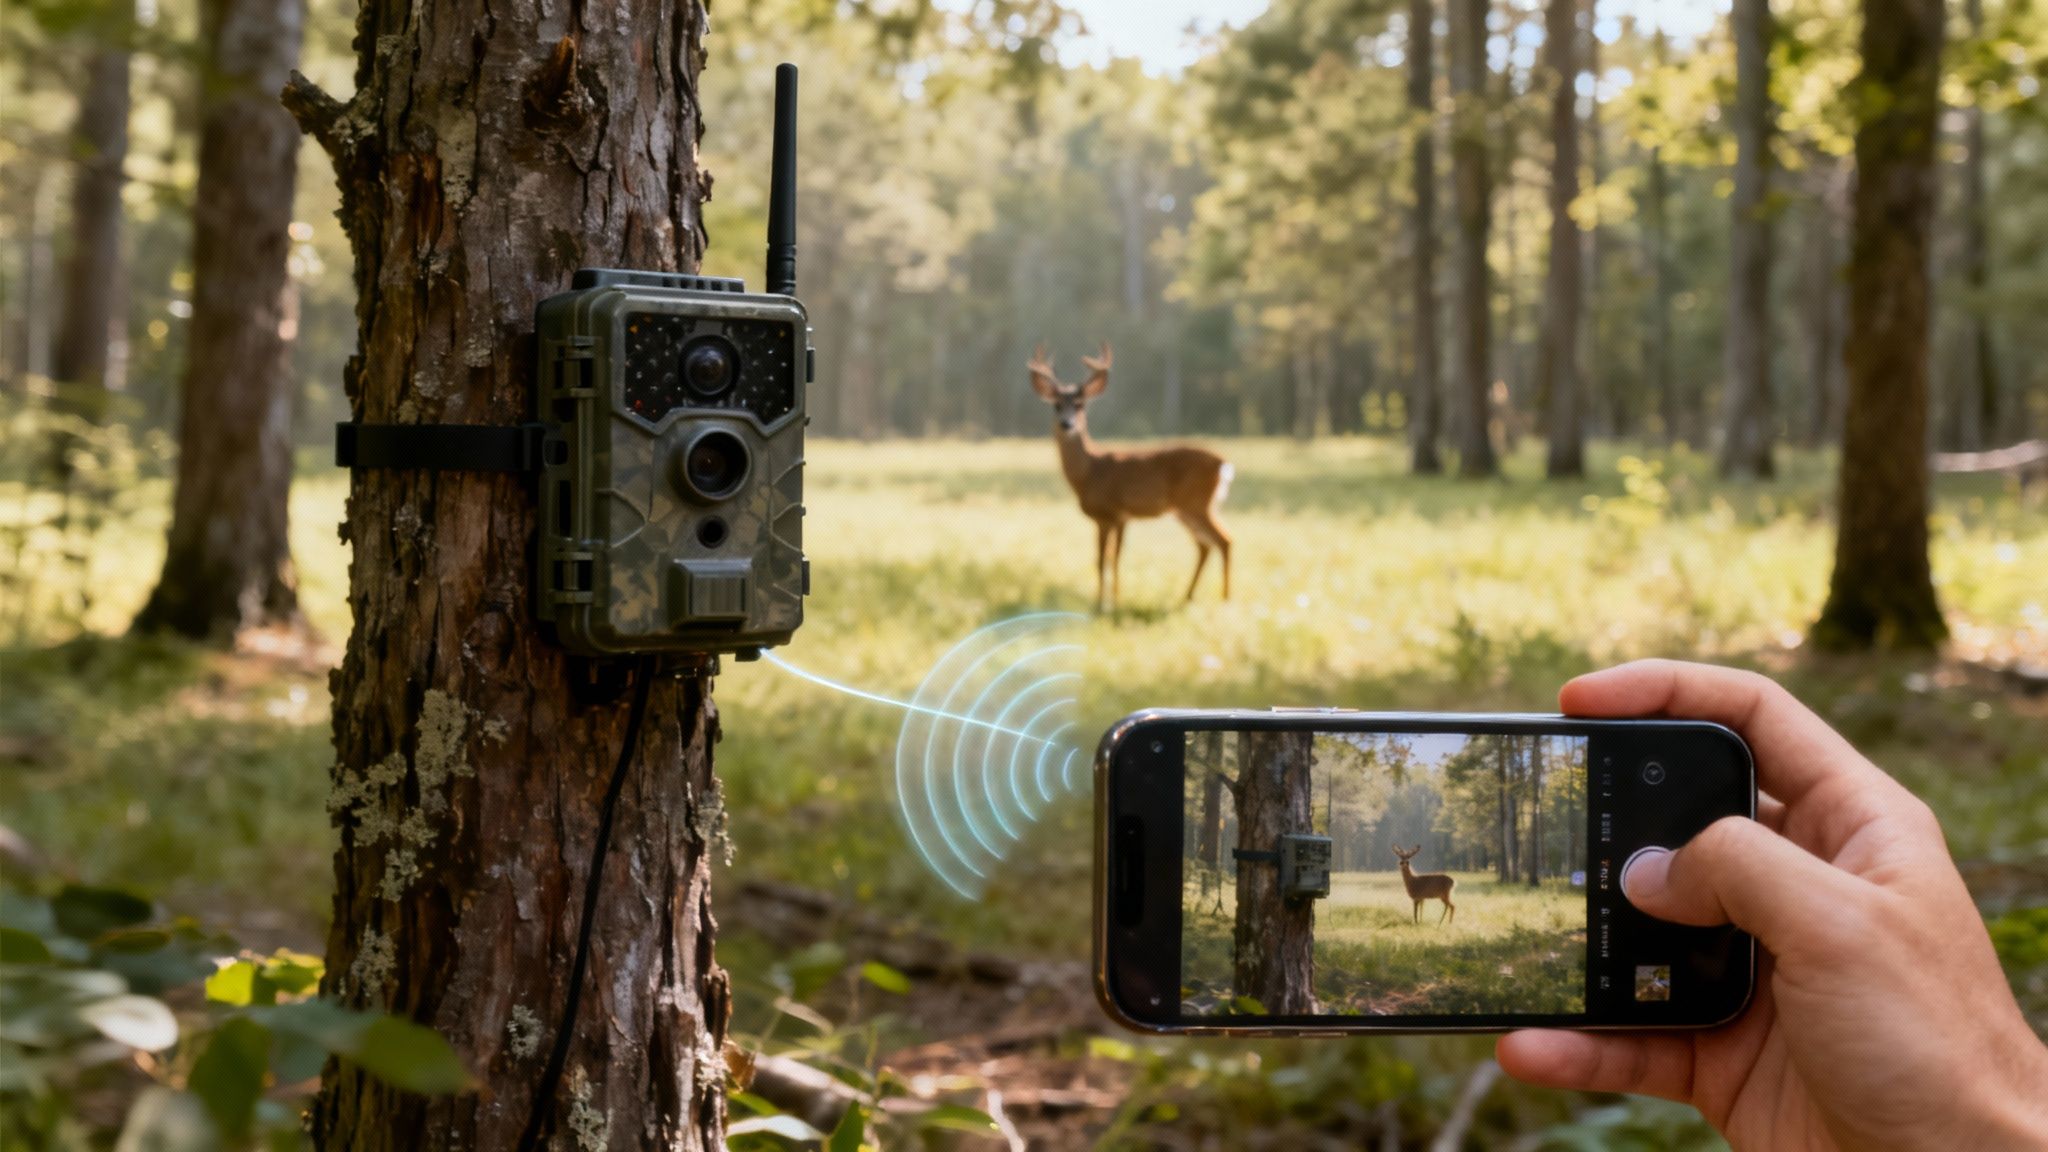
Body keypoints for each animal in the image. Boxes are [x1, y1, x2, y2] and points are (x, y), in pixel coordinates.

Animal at [1027, 343, 1233, 613]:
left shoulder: (1110, 514)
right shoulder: (1116, 518)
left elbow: (1105, 559)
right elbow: (1109, 558)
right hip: (1185, 509)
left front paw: (1103, 606)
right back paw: (1188, 597)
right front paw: (1111, 602)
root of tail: (1223, 464)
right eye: (1056, 405)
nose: (1067, 424)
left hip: (1197, 503)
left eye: (1080, 405)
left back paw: (1226, 599)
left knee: (1224, 541)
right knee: (1205, 545)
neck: (1089, 472)